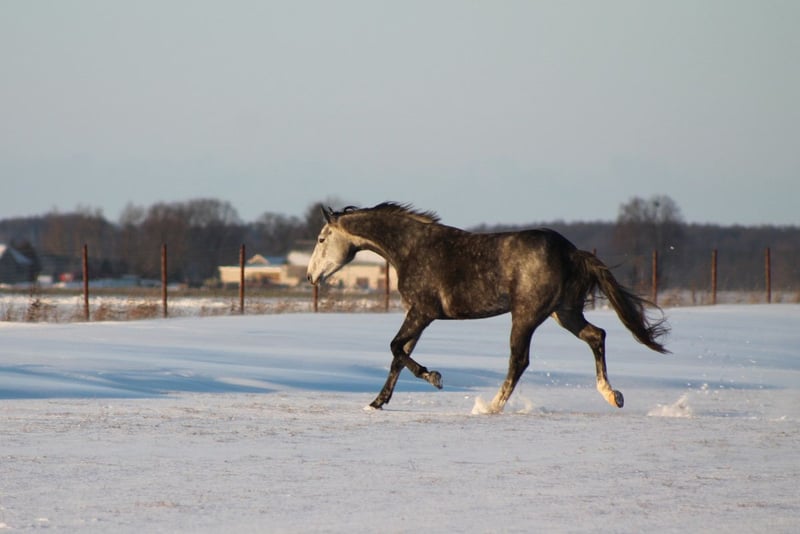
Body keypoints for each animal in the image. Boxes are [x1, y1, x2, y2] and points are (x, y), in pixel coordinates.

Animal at [306, 202, 669, 413]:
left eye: (322, 239)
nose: (311, 276)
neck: (411, 249)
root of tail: (572, 252)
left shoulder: (423, 312)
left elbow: (395, 348)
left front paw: (435, 377)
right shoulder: (418, 315)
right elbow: (397, 356)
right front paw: (377, 402)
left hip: (527, 316)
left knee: (519, 360)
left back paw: (491, 406)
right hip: (564, 313)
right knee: (597, 335)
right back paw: (612, 395)